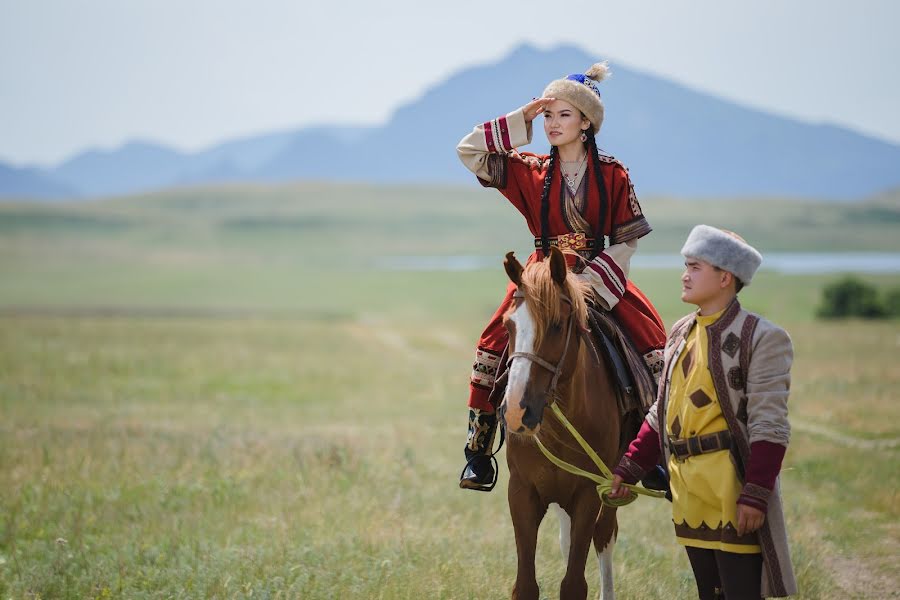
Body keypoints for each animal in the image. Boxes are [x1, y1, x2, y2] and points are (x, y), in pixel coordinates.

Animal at [500, 247, 624, 600]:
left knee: (604, 535)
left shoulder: (589, 492)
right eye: (508, 326)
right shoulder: (522, 491)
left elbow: (573, 584)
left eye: (556, 325)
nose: (516, 412)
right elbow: (525, 585)